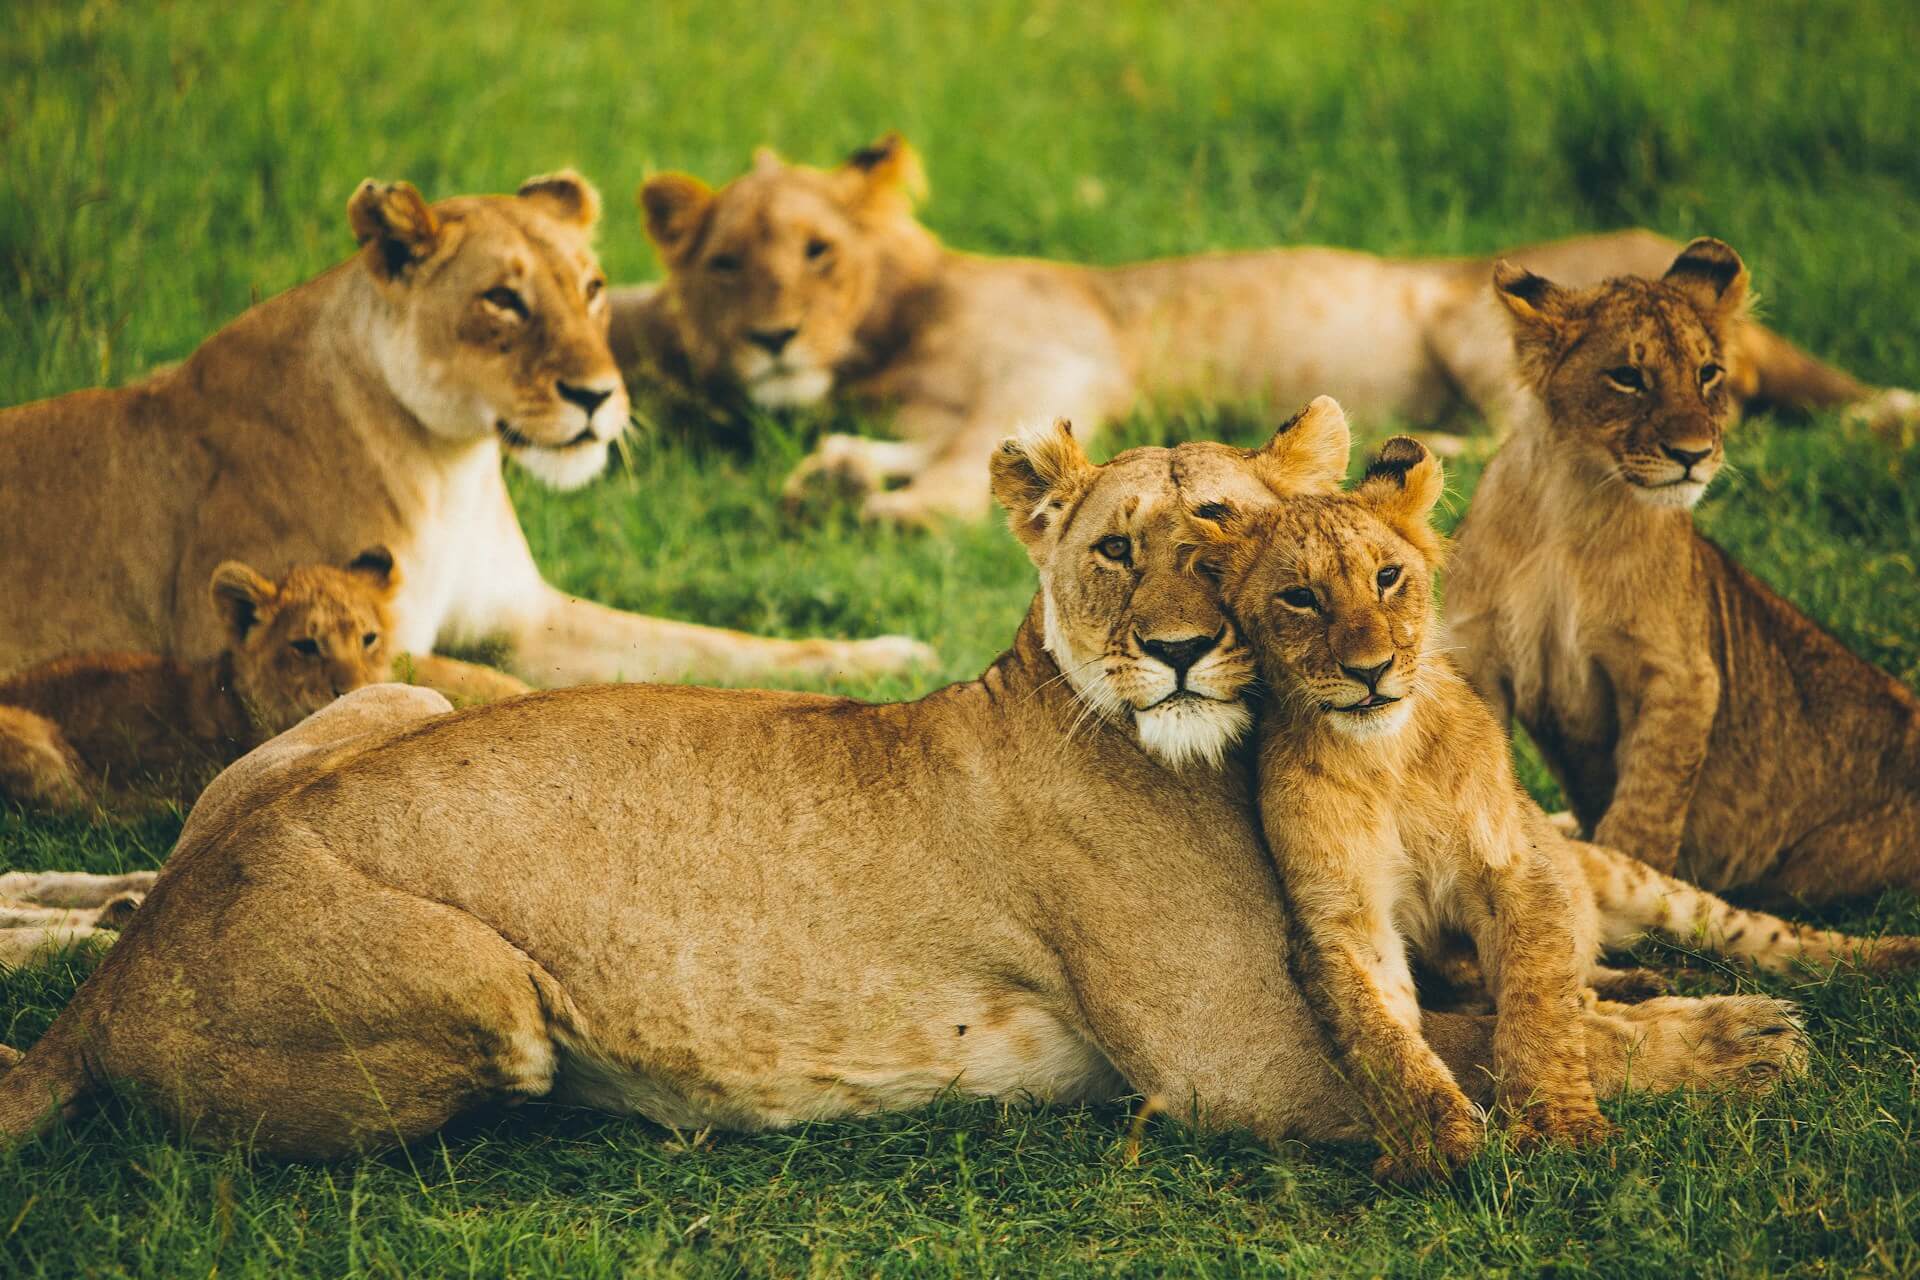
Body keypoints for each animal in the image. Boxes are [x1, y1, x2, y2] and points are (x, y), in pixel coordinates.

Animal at [0, 172, 931, 690]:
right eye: (503, 300)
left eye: (592, 288)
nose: (597, 396)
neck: (451, 467)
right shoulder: (287, 640)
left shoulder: (530, 619)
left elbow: (716, 644)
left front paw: (887, 657)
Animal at [0, 421, 1809, 1161]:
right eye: (1119, 550)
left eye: (1230, 532)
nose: (1174, 650)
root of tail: (115, 983)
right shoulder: (1237, 1065)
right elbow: (1471, 1048)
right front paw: (1740, 1039)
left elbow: (1522, 992)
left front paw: (1657, 990)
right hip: (492, 998)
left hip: (386, 691)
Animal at [612, 132, 1918, 527]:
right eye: (727, 263)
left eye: (817, 253)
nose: (773, 338)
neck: (886, 338)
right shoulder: (950, 403)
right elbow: (928, 447)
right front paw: (836, 471)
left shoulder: (1056, 360)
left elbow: (961, 469)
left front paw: (884, 507)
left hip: (1472, 317)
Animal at [1190, 400, 1917, 1180]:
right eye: (1299, 598)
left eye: (1388, 577)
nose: (1371, 670)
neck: (1383, 757)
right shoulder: (1341, 921)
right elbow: (1382, 1039)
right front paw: (1431, 1146)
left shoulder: (1517, 870)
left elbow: (1537, 1002)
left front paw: (1557, 1125)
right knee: (1585, 976)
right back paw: (1642, 985)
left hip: (1639, 881)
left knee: (1769, 937)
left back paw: (1890, 958)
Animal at [1447, 238, 1920, 907]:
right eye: (1627, 376)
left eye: (1708, 373)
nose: (1694, 455)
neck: (1571, 502)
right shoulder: (1477, 655)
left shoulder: (1680, 674)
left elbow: (1646, 807)